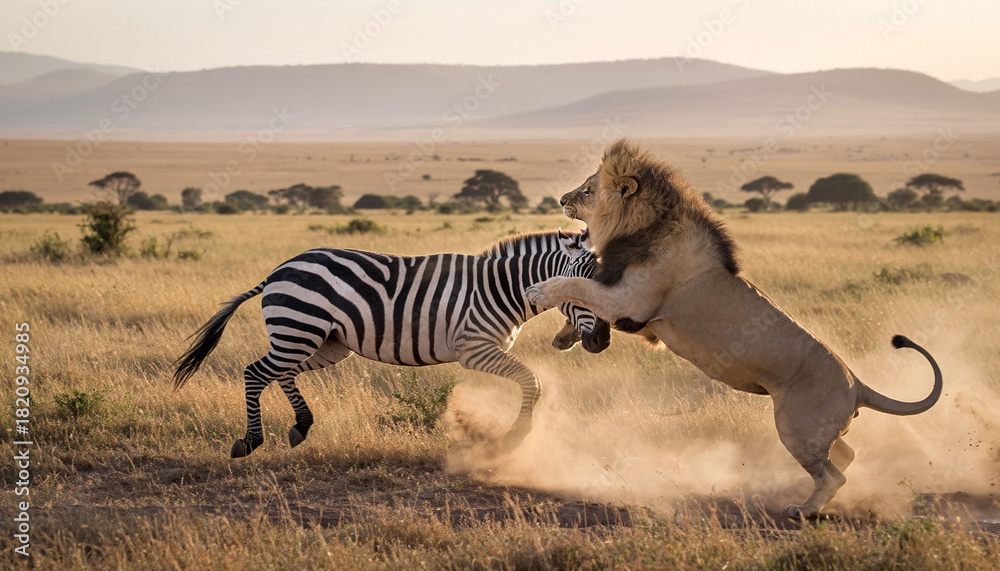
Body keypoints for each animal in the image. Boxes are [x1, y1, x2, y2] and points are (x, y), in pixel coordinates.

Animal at [172, 229, 607, 458]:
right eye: (581, 291)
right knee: (255, 372)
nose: (602, 341)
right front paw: (513, 438)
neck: (501, 288)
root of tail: (280, 268)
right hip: (300, 329)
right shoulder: (474, 348)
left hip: (325, 342)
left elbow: (530, 381)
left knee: (280, 374)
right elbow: (532, 380)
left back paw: (301, 426)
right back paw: (250, 441)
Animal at [527, 139, 943, 520]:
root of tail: (857, 383)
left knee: (833, 475)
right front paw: (566, 336)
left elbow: (576, 284)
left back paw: (803, 511)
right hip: (823, 431)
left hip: (797, 428)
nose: (561, 199)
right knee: (847, 454)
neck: (641, 227)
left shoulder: (631, 304)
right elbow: (583, 295)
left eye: (587, 190)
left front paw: (540, 291)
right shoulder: (642, 321)